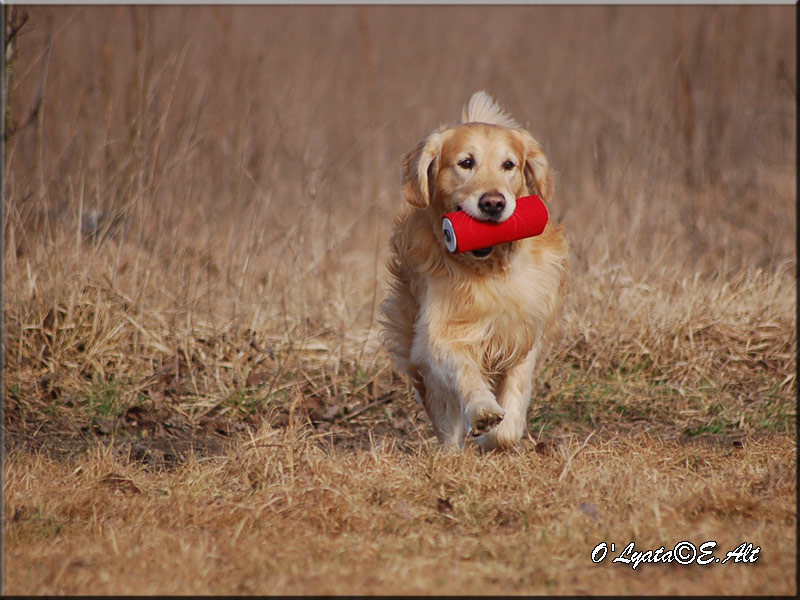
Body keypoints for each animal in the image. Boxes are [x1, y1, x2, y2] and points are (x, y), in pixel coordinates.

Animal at [382, 92, 568, 450]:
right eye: (466, 163)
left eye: (509, 165)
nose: (493, 203)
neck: (488, 269)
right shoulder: (437, 333)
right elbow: (463, 371)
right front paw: (482, 411)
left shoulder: (525, 333)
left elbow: (511, 419)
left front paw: (494, 437)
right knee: (444, 413)